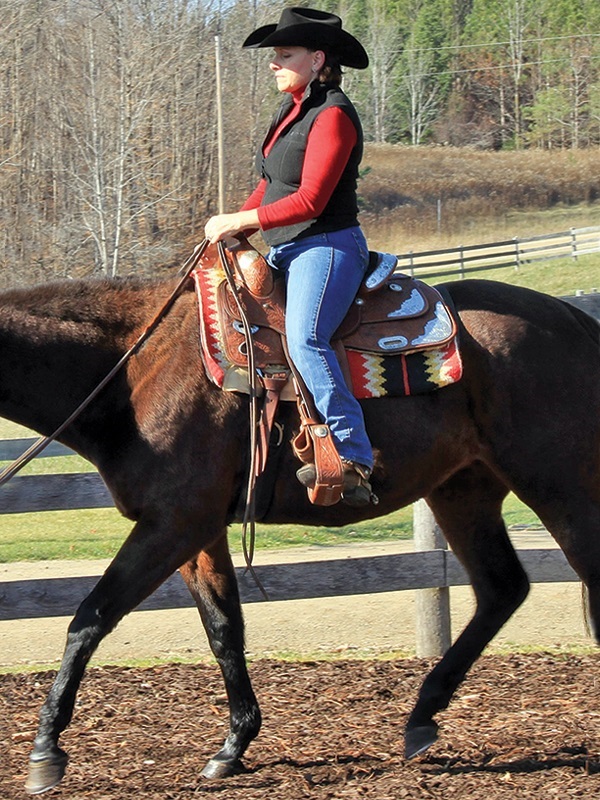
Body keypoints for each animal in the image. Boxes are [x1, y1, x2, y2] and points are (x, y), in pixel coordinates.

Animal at [1, 269, 599, 794]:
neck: (135, 370)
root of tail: (572, 317)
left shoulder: (173, 524)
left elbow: (90, 619)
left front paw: (46, 751)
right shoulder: (198, 533)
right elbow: (224, 629)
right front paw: (233, 745)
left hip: (559, 484)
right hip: (463, 491)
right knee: (501, 588)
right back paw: (421, 718)